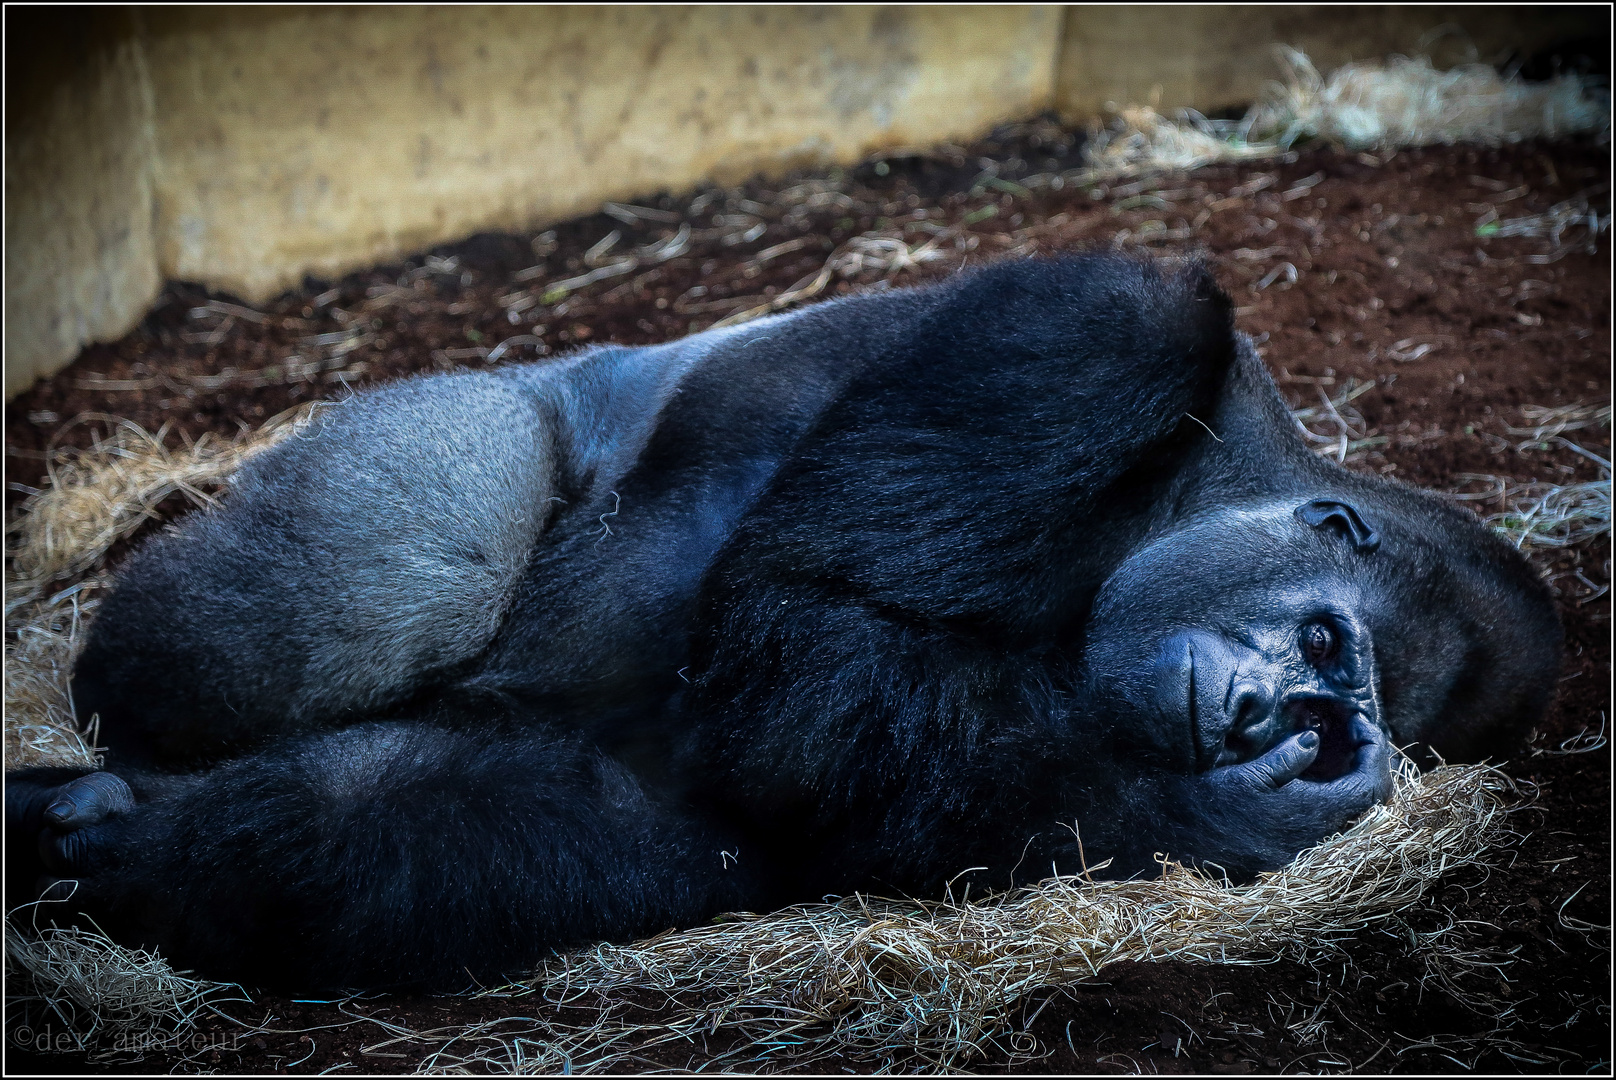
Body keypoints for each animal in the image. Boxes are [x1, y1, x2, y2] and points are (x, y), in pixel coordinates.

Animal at [6, 250, 1557, 989]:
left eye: (1345, 705)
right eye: (1325, 648)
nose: (1289, 720)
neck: (1211, 476)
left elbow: (657, 808)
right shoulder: (1105, 329)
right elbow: (806, 648)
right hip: (456, 423)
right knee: (379, 576)